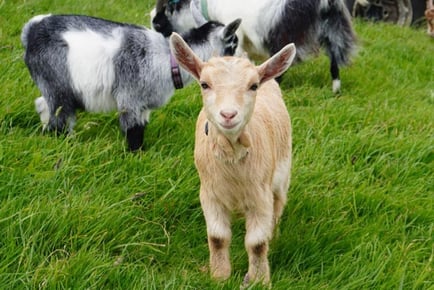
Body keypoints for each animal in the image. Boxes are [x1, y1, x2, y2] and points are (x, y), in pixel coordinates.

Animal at [21, 13, 241, 150]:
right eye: (232, 45)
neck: (166, 57)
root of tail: (31, 30)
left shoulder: (144, 106)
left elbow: (141, 127)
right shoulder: (130, 98)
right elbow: (133, 130)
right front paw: (135, 155)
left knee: (42, 105)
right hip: (56, 82)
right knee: (60, 116)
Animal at [151, 0, 358, 92]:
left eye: (170, 6)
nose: (153, 22)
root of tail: (326, 3)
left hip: (285, 38)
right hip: (334, 32)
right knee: (334, 62)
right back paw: (336, 90)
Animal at [169, 32, 294, 284]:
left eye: (253, 86)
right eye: (204, 84)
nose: (228, 114)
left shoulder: (260, 196)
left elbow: (257, 244)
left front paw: (258, 280)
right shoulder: (209, 194)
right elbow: (217, 238)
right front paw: (219, 275)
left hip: (282, 175)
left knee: (279, 205)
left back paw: (275, 234)